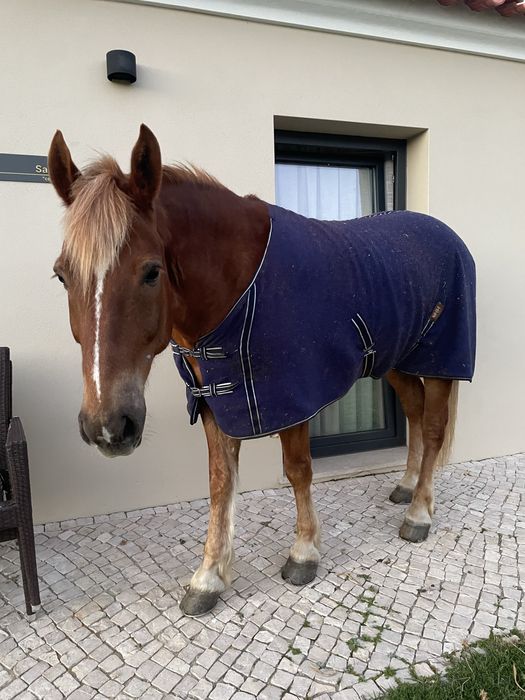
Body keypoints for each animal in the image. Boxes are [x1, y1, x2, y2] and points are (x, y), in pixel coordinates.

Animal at [48, 125, 476, 617]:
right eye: (62, 275)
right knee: (414, 412)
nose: (108, 426)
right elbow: (220, 482)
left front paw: (304, 553)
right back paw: (406, 486)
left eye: (151, 272)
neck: (237, 288)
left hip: (441, 360)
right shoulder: (215, 401)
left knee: (435, 425)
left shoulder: (292, 399)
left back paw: (419, 513)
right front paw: (209, 577)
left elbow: (298, 470)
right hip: (393, 360)